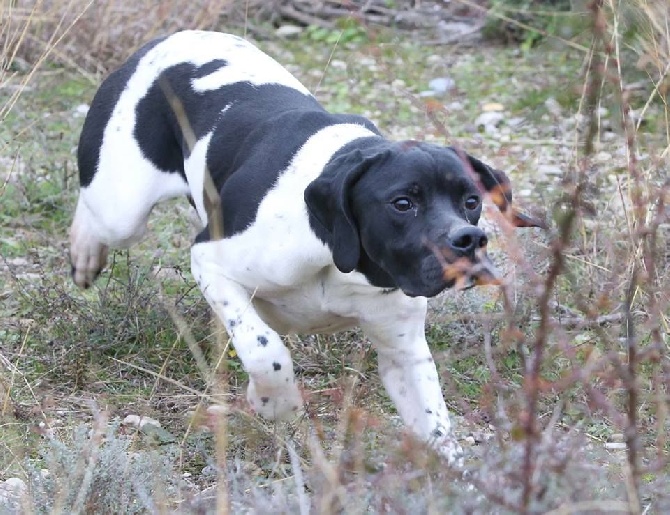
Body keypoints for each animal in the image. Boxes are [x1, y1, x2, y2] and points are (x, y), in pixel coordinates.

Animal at [71, 29, 544, 464]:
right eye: (403, 203)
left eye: (471, 201)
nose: (469, 240)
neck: (336, 252)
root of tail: (169, 38)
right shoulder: (212, 263)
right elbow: (266, 351)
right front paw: (276, 403)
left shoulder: (403, 353)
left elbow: (438, 430)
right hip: (122, 210)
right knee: (94, 212)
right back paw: (84, 252)